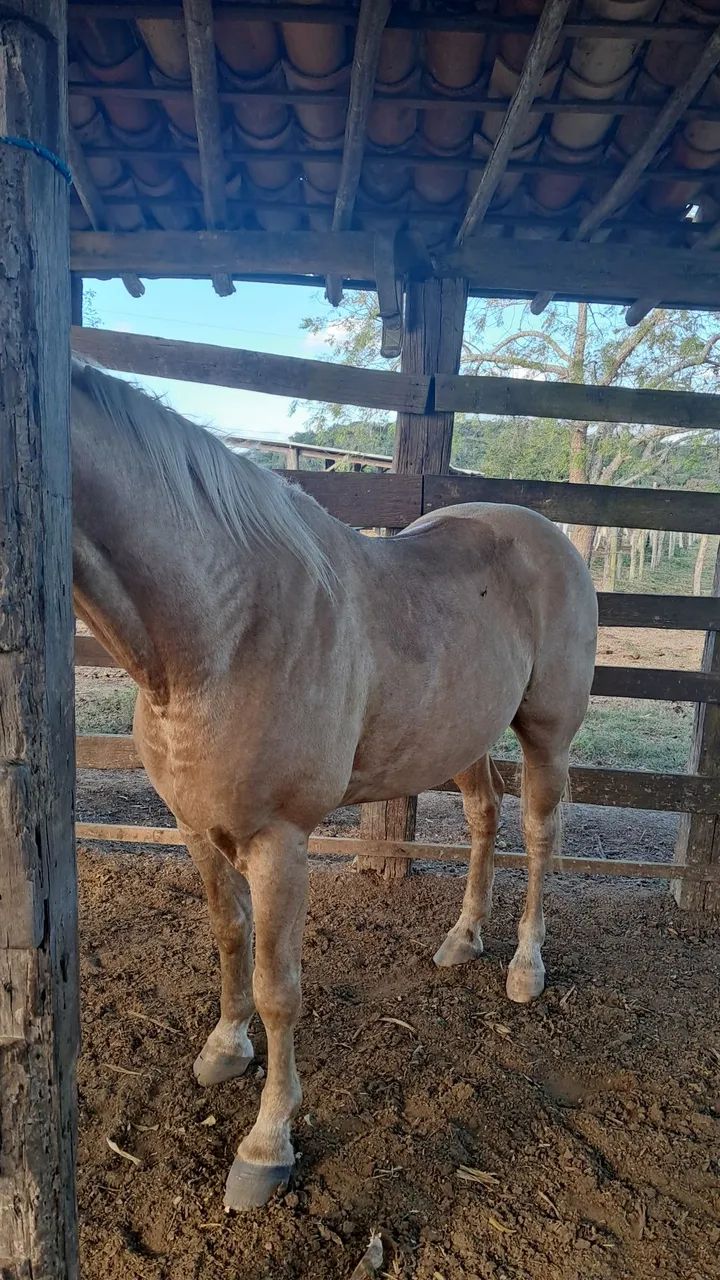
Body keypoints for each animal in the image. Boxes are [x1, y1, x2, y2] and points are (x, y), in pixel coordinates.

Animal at [70, 356, 598, 1210]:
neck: (224, 629)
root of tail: (540, 531)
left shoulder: (279, 843)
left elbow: (279, 986)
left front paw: (266, 1144)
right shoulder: (193, 827)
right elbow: (229, 937)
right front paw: (225, 1049)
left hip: (548, 734)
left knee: (540, 836)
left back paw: (525, 965)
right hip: (460, 734)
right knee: (485, 819)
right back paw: (463, 938)